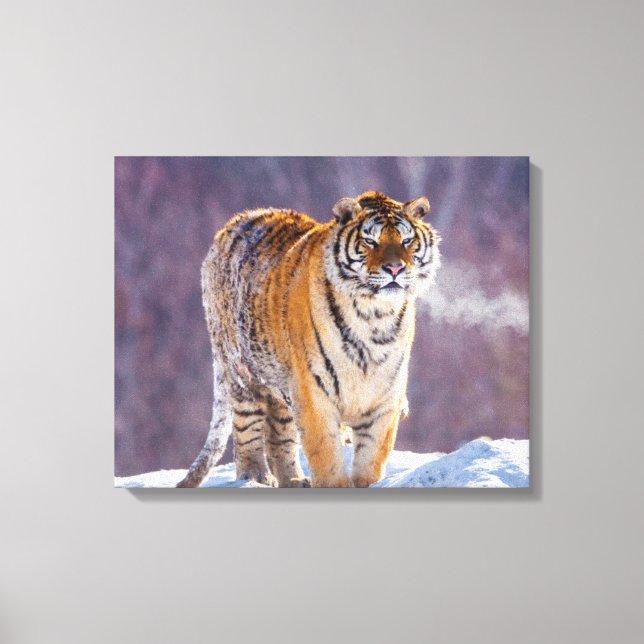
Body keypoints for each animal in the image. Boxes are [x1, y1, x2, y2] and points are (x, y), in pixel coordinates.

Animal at [177, 191, 441, 488]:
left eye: (406, 241)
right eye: (370, 241)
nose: (395, 268)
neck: (374, 315)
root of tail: (232, 223)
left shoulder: (384, 396)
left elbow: (372, 453)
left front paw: (367, 483)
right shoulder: (313, 389)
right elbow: (325, 452)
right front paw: (334, 485)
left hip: (280, 385)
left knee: (279, 433)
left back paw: (292, 480)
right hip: (241, 372)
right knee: (248, 427)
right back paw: (255, 476)